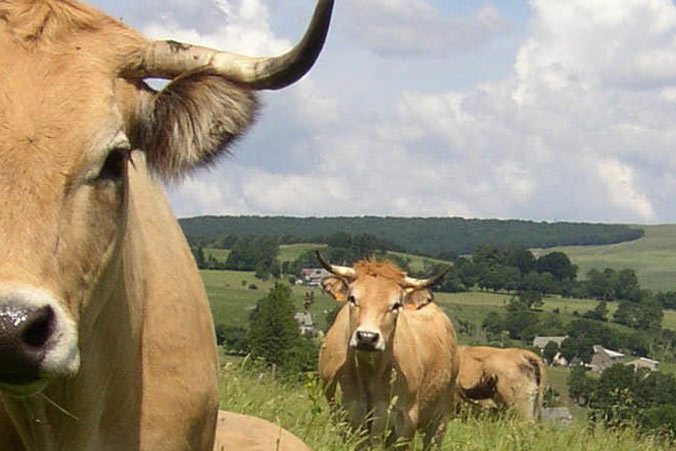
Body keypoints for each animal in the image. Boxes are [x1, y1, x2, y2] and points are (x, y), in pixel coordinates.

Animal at [316, 256, 460, 450]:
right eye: (352, 298)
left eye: (396, 305)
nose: (367, 337)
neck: (369, 374)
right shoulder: (346, 416)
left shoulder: (404, 422)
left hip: (441, 417)